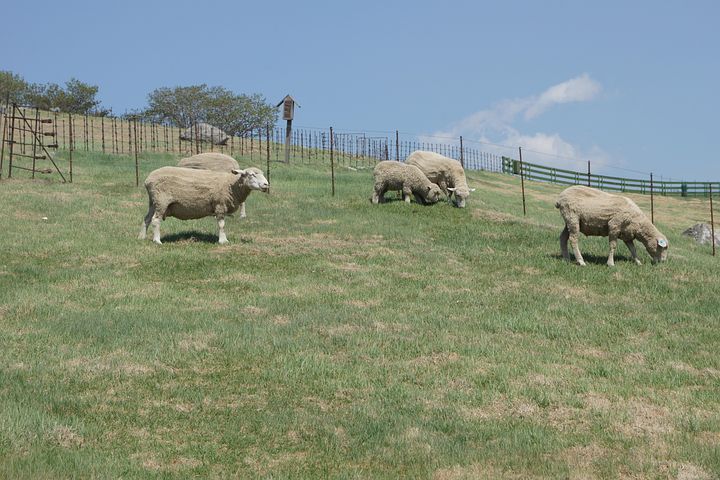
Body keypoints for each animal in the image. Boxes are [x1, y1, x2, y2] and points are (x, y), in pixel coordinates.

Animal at [138, 166, 268, 245]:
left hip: (153, 202)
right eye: (251, 175)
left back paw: (141, 237)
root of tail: (148, 180)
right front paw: (223, 241)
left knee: (147, 219)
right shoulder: (220, 205)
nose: (266, 184)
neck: (232, 185)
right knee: (155, 220)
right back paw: (157, 241)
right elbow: (222, 225)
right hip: (162, 201)